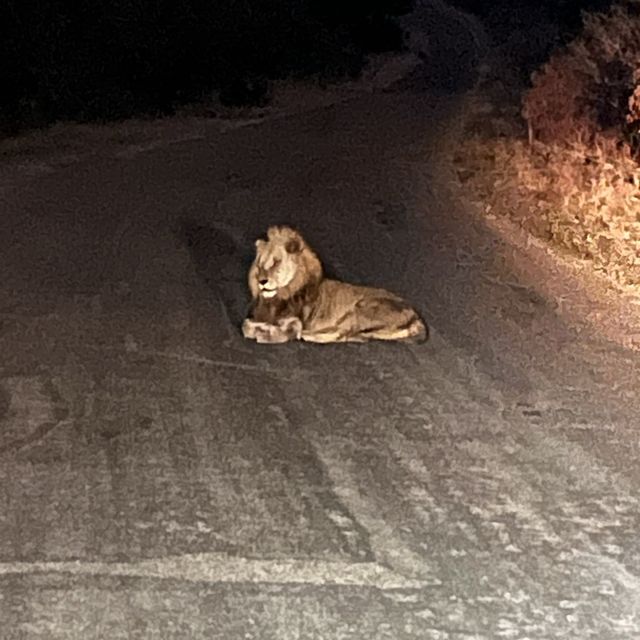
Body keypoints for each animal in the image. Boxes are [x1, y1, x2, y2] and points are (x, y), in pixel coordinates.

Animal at [242, 226, 428, 344]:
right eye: (260, 264)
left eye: (276, 262)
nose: (261, 281)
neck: (280, 294)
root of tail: (415, 314)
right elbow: (247, 324)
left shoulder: (294, 320)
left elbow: (290, 329)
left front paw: (265, 334)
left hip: (362, 307)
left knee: (342, 333)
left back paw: (309, 335)